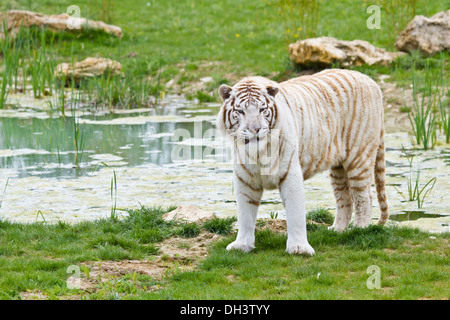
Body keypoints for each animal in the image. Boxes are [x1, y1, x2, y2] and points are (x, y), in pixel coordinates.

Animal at [216, 69, 388, 255]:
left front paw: (299, 248)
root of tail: (370, 80)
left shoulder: (289, 173)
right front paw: (241, 245)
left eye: (262, 110)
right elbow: (245, 214)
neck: (259, 153)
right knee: (344, 198)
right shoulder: (245, 179)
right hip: (338, 168)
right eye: (240, 111)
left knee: (364, 197)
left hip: (359, 158)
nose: (255, 130)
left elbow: (295, 212)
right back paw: (337, 229)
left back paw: (360, 229)